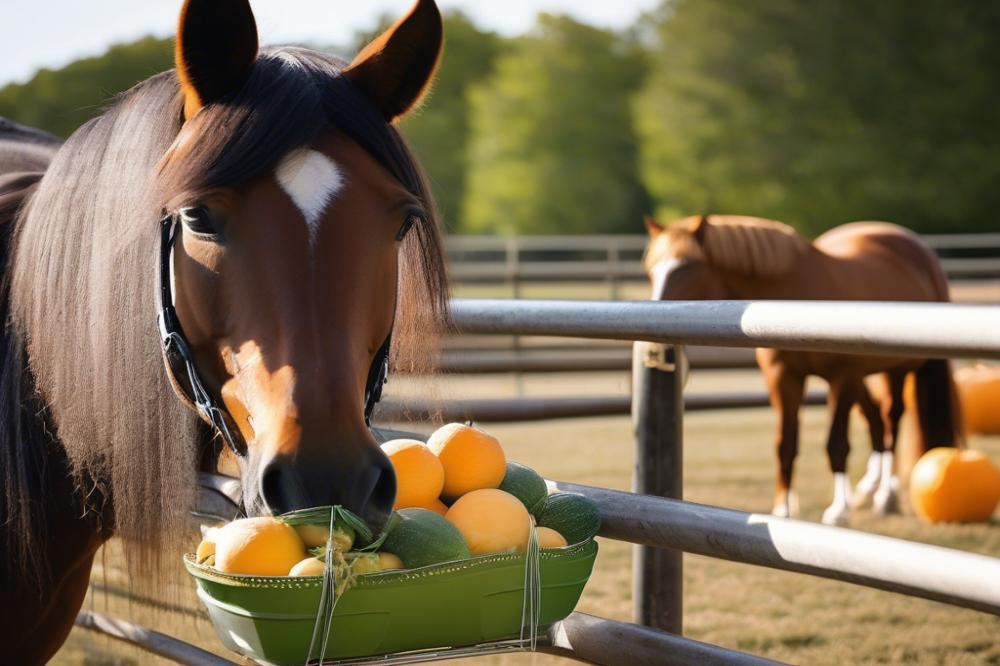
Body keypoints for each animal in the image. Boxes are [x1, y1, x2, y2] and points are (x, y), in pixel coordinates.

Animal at [640, 213, 960, 524]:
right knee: (876, 421)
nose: (653, 346)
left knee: (891, 419)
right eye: (652, 270)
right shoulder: (784, 378)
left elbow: (836, 444)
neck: (797, 294)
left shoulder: (842, 378)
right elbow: (785, 444)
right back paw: (867, 490)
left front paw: (838, 511)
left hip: (896, 370)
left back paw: (885, 495)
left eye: (688, 267)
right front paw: (783, 511)